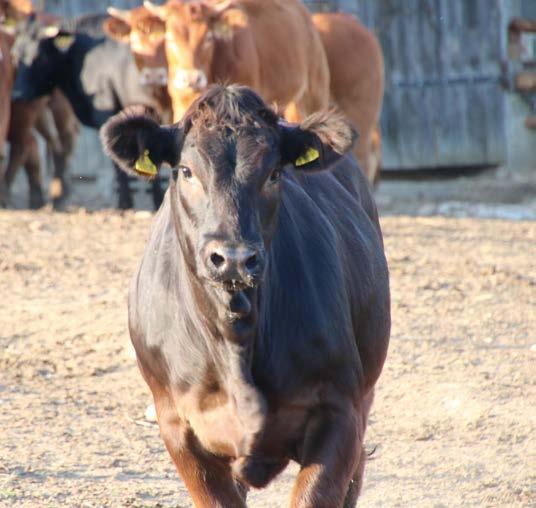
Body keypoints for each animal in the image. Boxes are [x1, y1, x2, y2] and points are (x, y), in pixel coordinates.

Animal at [11, 13, 170, 209]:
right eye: (15, 55)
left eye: (39, 57)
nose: (17, 94)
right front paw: (156, 198)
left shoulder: (106, 109)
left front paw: (125, 202)